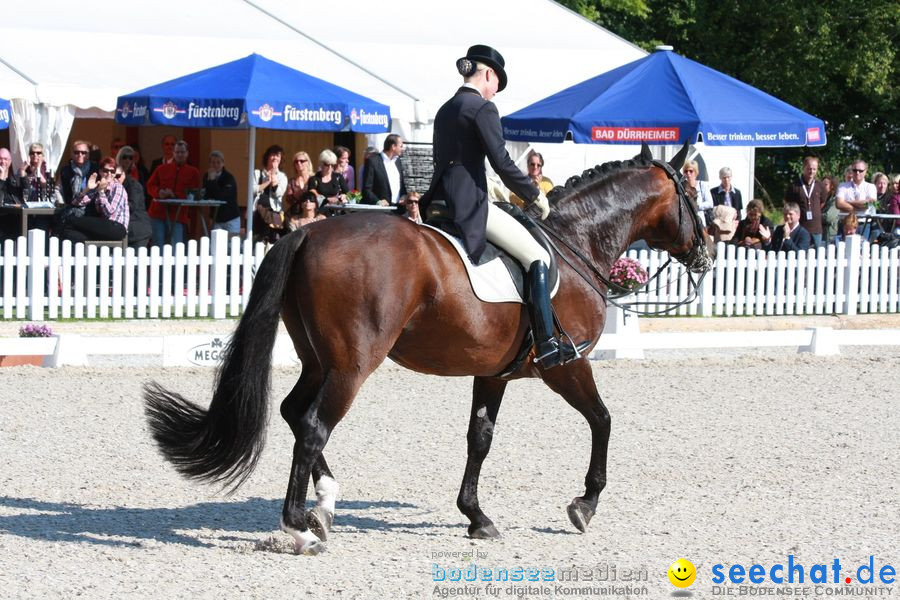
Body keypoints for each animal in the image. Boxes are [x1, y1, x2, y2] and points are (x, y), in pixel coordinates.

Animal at [144, 143, 712, 556]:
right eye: (692, 191)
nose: (706, 256)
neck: (575, 243)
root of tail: (306, 235)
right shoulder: (566, 366)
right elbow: (603, 420)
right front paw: (584, 505)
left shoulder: (494, 373)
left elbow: (479, 439)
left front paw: (476, 517)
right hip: (352, 365)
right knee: (312, 426)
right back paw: (300, 528)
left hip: (320, 359)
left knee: (291, 411)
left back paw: (324, 504)